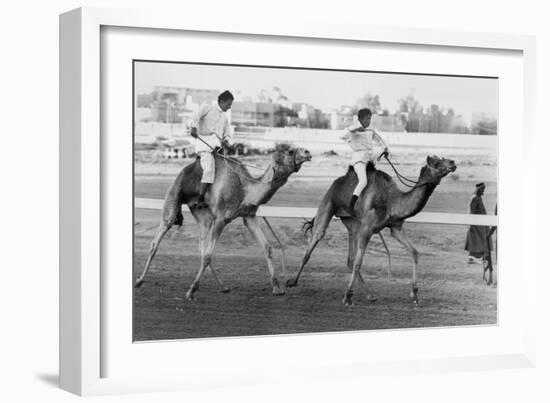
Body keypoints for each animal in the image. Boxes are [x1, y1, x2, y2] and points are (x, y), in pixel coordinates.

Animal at [136, 144, 312, 300]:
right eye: (290, 151)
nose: (308, 152)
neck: (245, 190)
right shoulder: (221, 219)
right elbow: (209, 255)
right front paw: (191, 292)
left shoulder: (249, 216)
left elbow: (267, 247)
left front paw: (277, 287)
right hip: (174, 196)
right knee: (158, 239)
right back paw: (139, 281)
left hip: (202, 214)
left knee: (202, 246)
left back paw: (223, 286)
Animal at [288, 156, 458, 308]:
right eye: (437, 162)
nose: (452, 163)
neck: (392, 202)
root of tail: (337, 182)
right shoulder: (368, 228)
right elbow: (359, 262)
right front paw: (347, 297)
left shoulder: (395, 227)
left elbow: (414, 252)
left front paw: (415, 295)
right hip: (328, 203)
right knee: (314, 242)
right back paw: (291, 282)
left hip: (352, 222)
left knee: (350, 258)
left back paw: (371, 295)